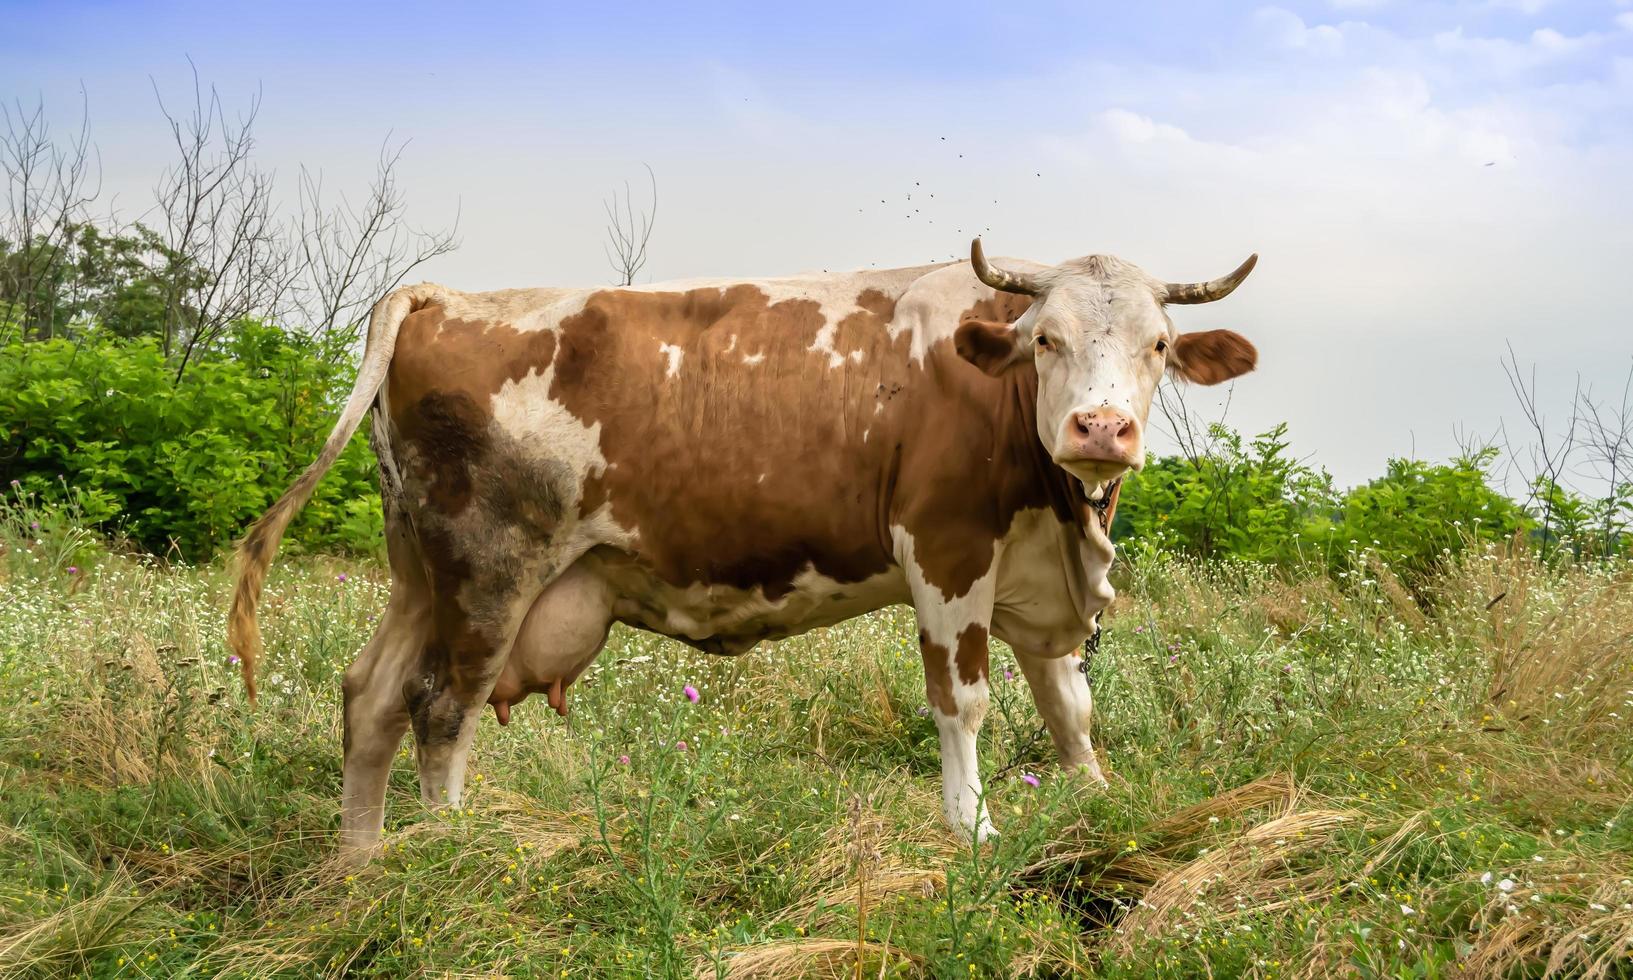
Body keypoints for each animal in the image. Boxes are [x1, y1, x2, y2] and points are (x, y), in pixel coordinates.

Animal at [223, 238, 1254, 855]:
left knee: (372, 696)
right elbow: (963, 703)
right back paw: (454, 852)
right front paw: (973, 836)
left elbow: (1068, 708)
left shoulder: (1035, 568)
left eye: (1160, 345)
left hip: (420, 569)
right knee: (441, 709)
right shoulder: (945, 547)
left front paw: (1100, 807)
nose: (1099, 428)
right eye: (1045, 339)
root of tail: (451, 297)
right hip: (488, 566)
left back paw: (363, 865)